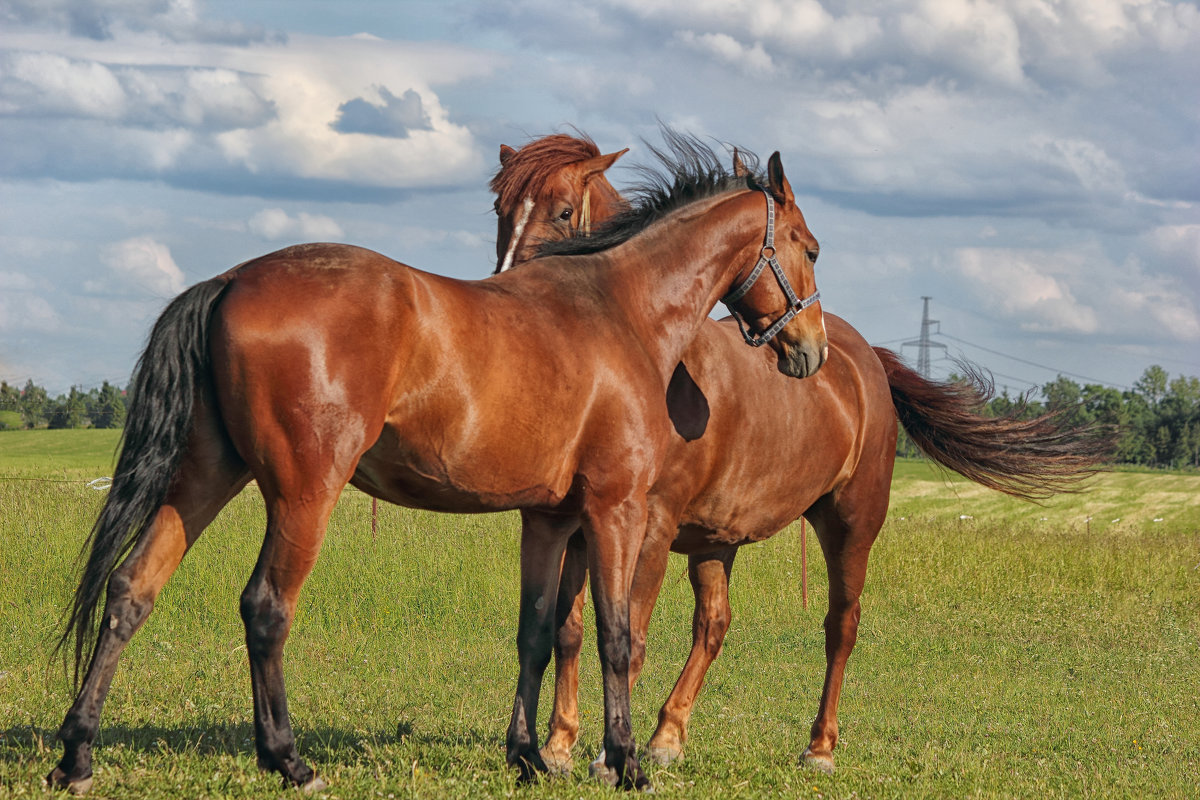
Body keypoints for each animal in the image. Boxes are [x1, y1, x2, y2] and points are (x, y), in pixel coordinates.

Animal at [44, 133, 825, 796]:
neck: (617, 309)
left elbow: (536, 633)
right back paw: (290, 762)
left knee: (132, 589)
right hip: (303, 494)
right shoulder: (617, 510)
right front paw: (625, 762)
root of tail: (233, 278)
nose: (810, 350)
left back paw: (77, 756)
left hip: (203, 478)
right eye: (810, 247)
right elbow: (616, 634)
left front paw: (527, 756)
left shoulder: (547, 519)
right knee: (265, 608)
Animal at [492, 130, 1108, 777]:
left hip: (850, 526)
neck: (651, 339)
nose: (510, 291)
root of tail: (862, 358)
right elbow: (569, 630)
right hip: (715, 540)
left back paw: (820, 747)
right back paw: (668, 736)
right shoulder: (580, 524)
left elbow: (628, 634)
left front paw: (603, 757)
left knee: (841, 626)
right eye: (500, 209)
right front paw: (560, 745)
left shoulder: (649, 526)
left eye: (564, 212)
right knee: (712, 626)